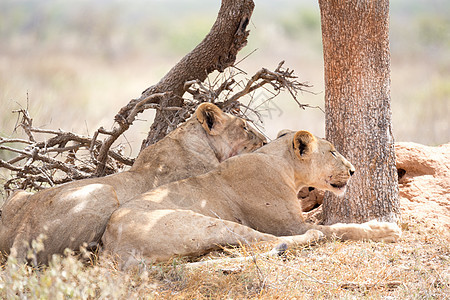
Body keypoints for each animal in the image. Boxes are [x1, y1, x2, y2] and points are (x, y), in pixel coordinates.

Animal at [102, 130, 400, 268]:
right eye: (333, 152)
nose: (353, 170)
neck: (284, 165)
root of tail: (114, 249)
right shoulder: (291, 224)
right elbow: (338, 229)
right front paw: (384, 229)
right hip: (206, 223)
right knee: (266, 241)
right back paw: (309, 238)